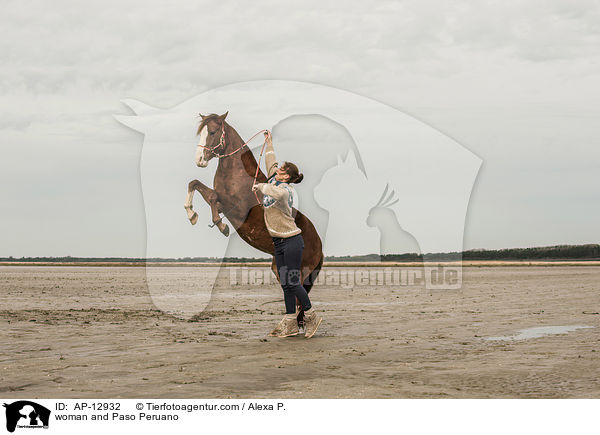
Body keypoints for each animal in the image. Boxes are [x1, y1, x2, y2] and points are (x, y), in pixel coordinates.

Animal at [184, 112, 324, 324]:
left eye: (213, 132)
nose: (199, 159)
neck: (237, 174)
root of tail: (320, 246)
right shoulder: (222, 202)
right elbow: (195, 184)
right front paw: (191, 213)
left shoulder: (237, 209)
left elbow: (212, 197)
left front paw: (221, 226)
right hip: (280, 269)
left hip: (299, 272)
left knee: (300, 299)